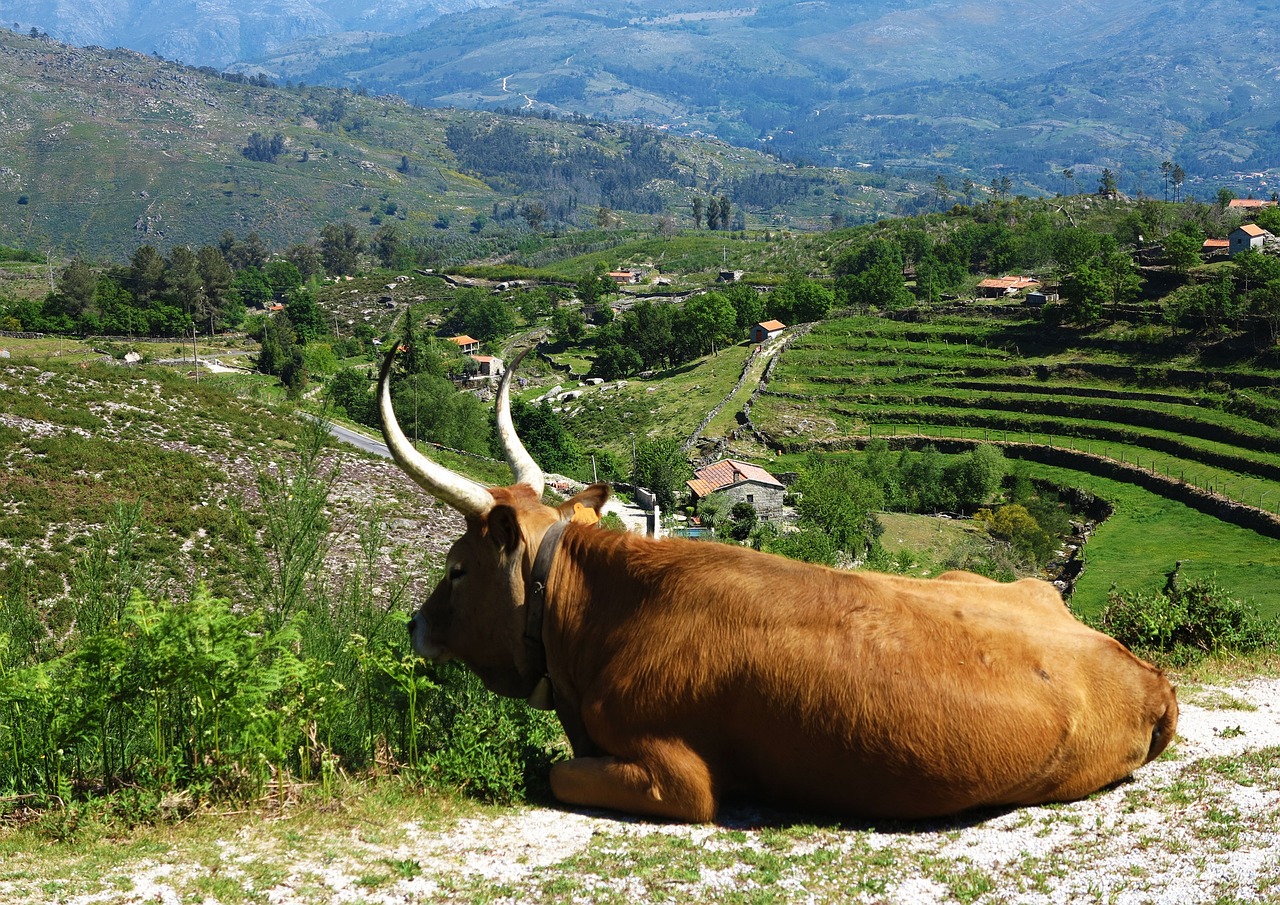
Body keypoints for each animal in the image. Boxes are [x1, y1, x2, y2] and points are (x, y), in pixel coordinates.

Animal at [373, 348, 1172, 829]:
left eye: (457, 566)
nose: (413, 624)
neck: (605, 616)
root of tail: (1149, 675)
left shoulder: (678, 778)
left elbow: (554, 771)